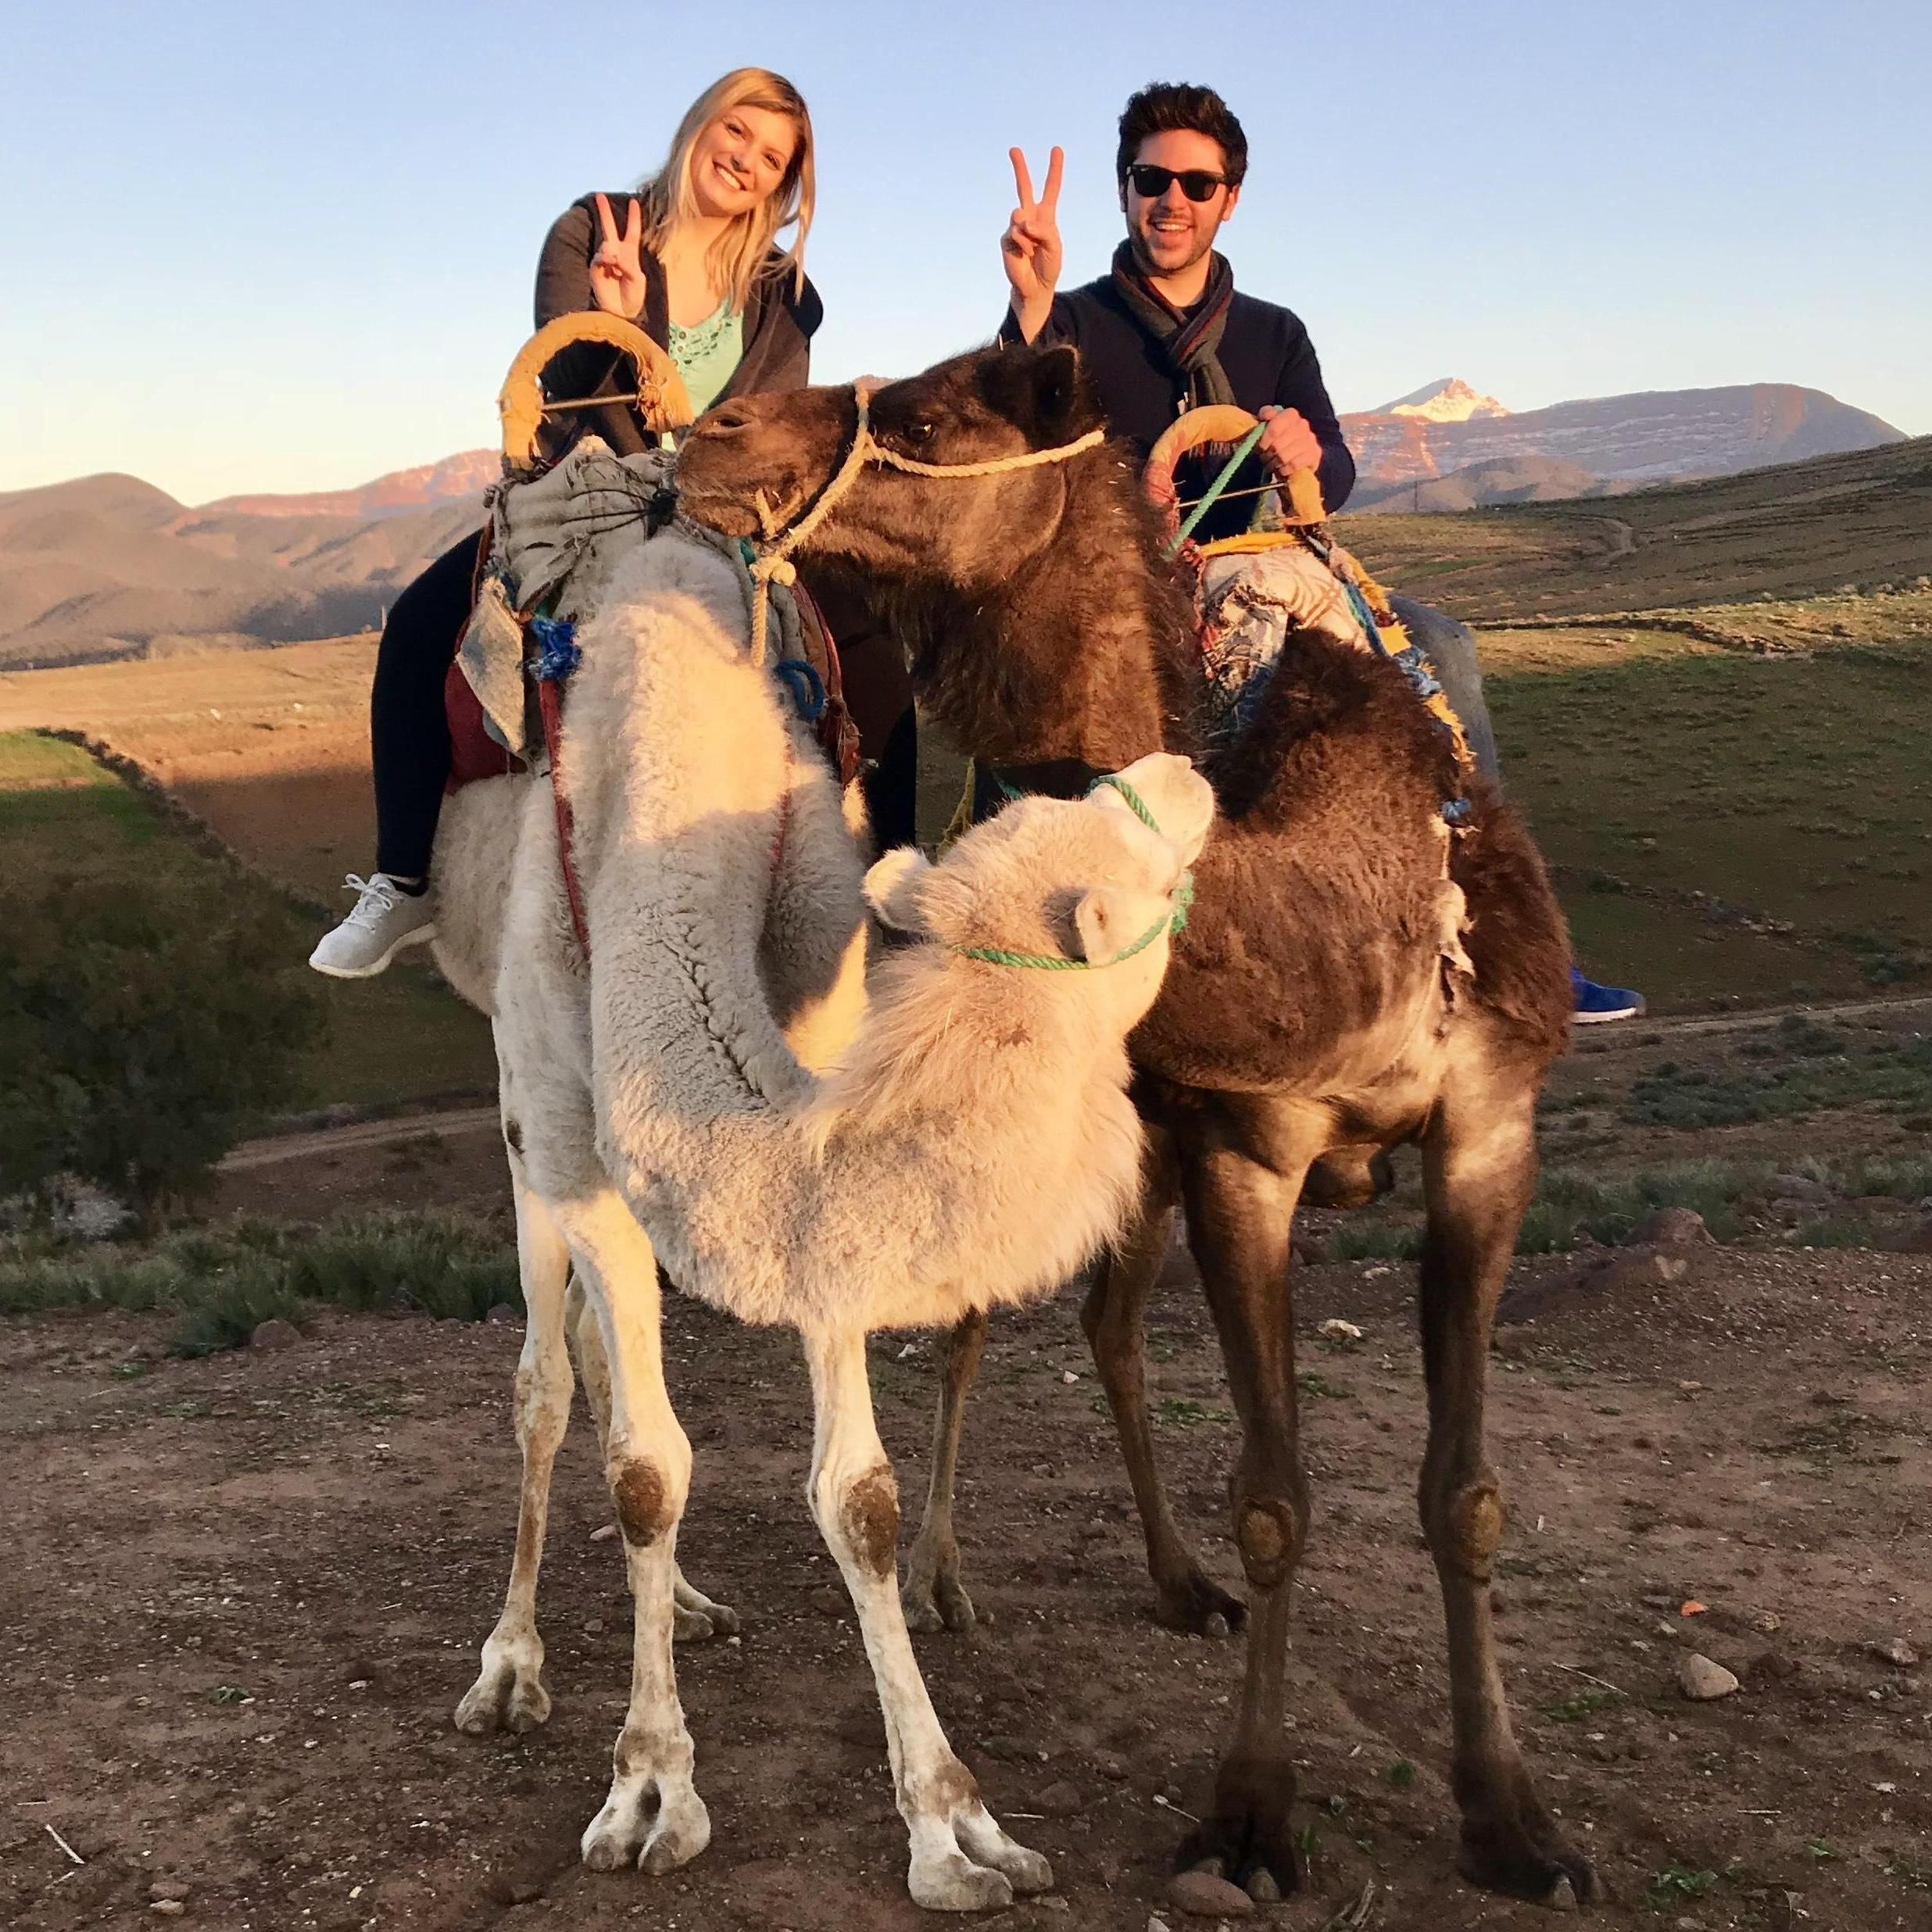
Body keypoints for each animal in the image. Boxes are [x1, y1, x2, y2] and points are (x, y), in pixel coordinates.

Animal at [427, 506, 1205, 1909]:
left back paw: (682, 1605)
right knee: (545, 1384)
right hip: (522, 1120)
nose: (1181, 770)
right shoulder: (579, 1139)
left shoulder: (818, 1130)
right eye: (1135, 866)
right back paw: (510, 1666)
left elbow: (857, 1497)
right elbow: (642, 1468)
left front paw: (956, 1826)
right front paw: (649, 1789)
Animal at [680, 344, 1599, 1901]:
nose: (710, 433)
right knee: (980, 1326)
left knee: (1109, 1326)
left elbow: (1463, 1491)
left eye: (927, 415)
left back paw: (1176, 1584)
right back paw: (947, 1576)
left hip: (1146, 1153)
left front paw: (1515, 1821)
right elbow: (1277, 1496)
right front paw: (1249, 1822)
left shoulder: (1486, 1132)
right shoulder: (1245, 1153)